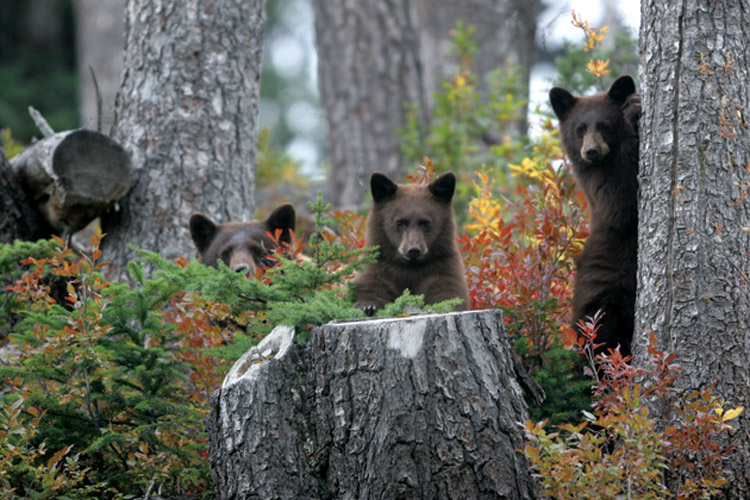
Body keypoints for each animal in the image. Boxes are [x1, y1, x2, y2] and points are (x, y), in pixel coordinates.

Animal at [354, 170, 470, 314]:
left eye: (425, 222)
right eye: (400, 222)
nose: (413, 249)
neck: (410, 267)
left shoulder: (443, 265)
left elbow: (448, 291)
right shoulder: (379, 263)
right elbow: (372, 284)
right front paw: (367, 305)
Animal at [552, 74, 640, 358]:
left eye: (604, 125)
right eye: (580, 129)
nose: (590, 150)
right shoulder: (596, 184)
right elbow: (621, 200)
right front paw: (631, 110)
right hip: (600, 294)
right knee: (601, 338)